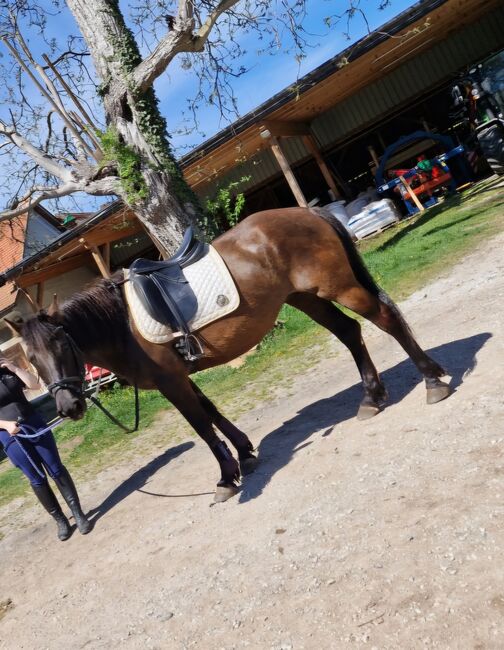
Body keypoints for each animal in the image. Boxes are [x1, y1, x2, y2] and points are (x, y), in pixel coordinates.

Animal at [8, 208, 448, 502]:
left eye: (61, 343)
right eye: (30, 360)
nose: (68, 407)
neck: (122, 322)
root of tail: (308, 212)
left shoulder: (170, 382)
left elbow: (202, 426)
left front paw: (225, 477)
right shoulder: (180, 376)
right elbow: (213, 413)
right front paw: (244, 455)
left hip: (340, 288)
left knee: (386, 321)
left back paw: (432, 381)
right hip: (308, 299)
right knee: (350, 334)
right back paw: (371, 398)